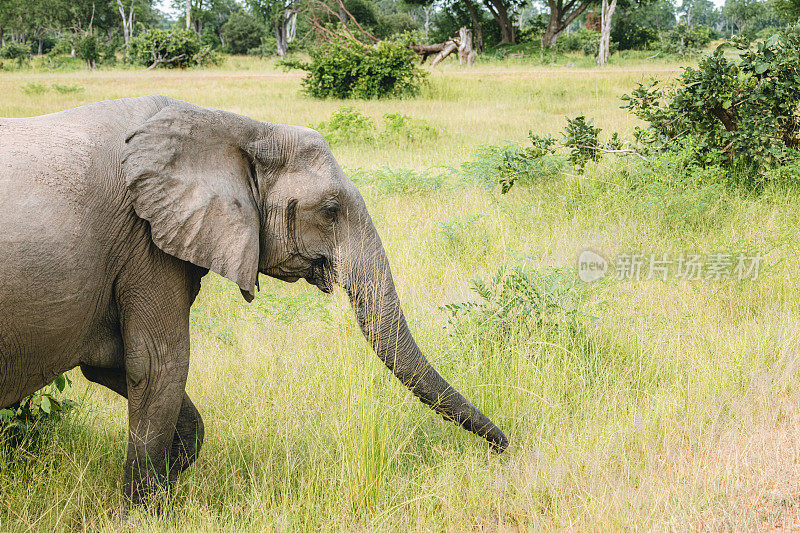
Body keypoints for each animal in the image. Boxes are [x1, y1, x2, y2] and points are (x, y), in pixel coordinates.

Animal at [0, 96, 510, 512]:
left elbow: (117, 367)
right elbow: (157, 366)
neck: (236, 128)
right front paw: (139, 518)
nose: (503, 449)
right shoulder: (144, 242)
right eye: (330, 211)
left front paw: (163, 493)